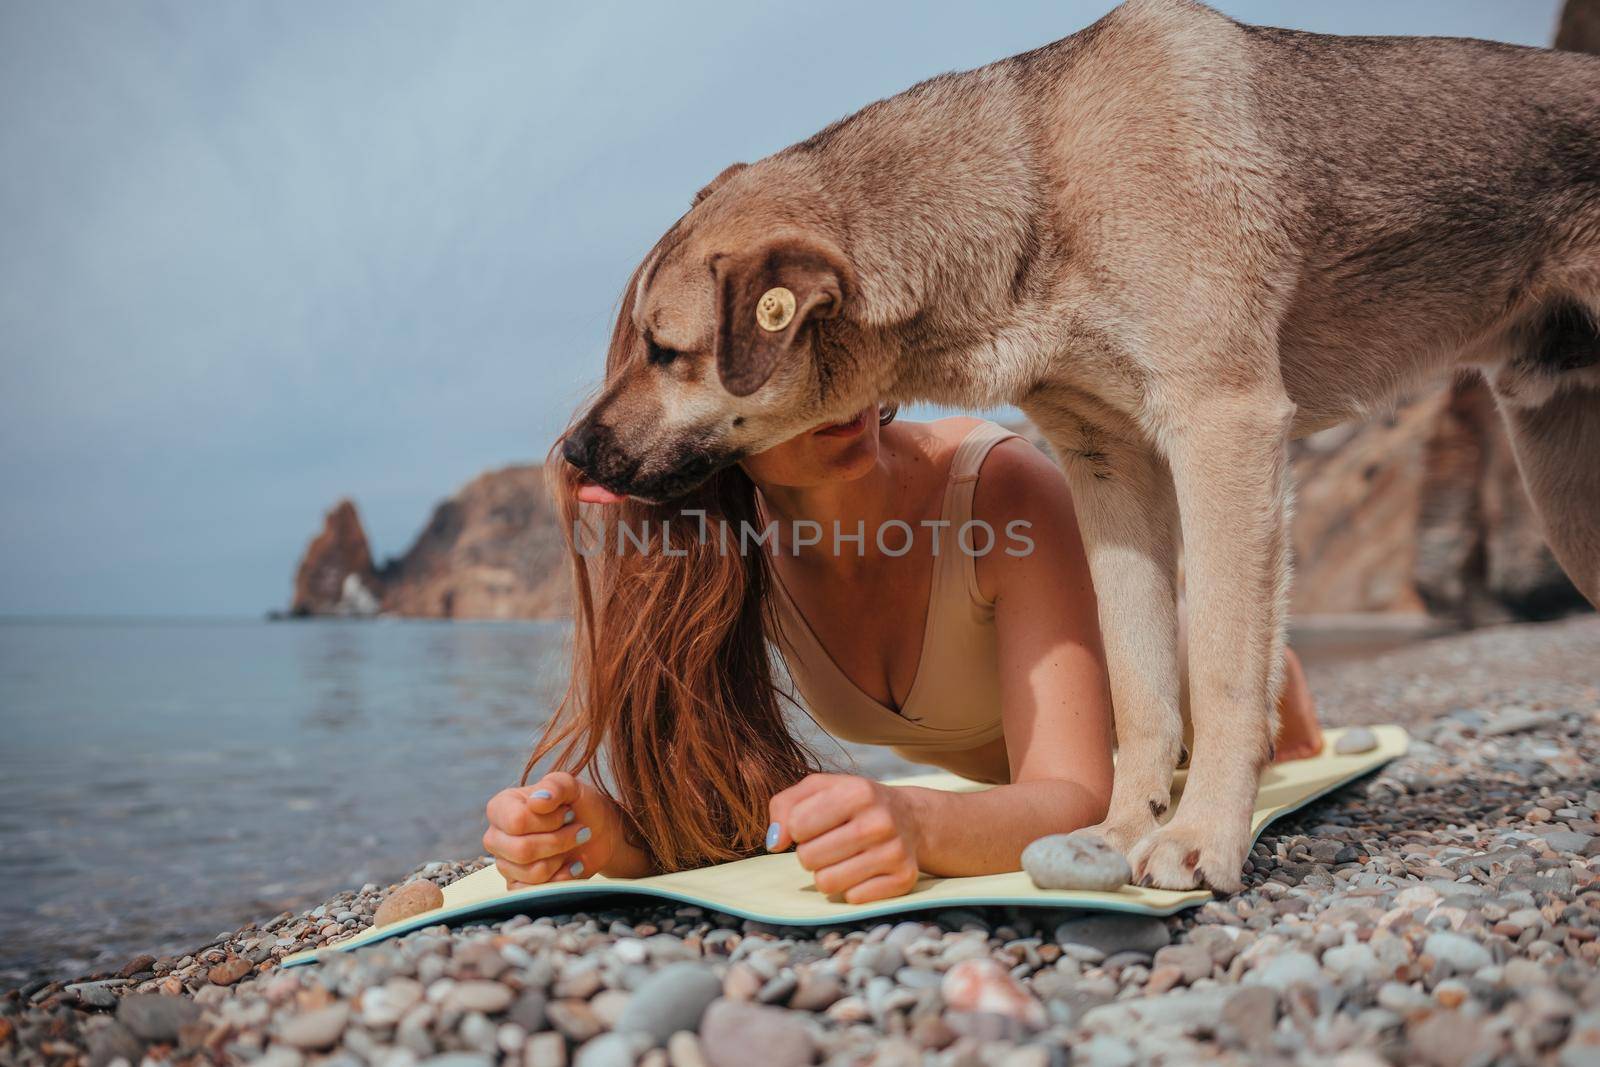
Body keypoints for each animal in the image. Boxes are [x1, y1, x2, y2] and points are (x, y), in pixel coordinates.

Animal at [556, 0, 1593, 895]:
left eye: (663, 349)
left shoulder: (1223, 422)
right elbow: (1139, 680)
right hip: (1560, 482)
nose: (571, 452)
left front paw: (1201, 834)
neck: (1038, 186)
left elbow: (1220, 665)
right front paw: (1120, 830)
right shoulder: (1109, 463)